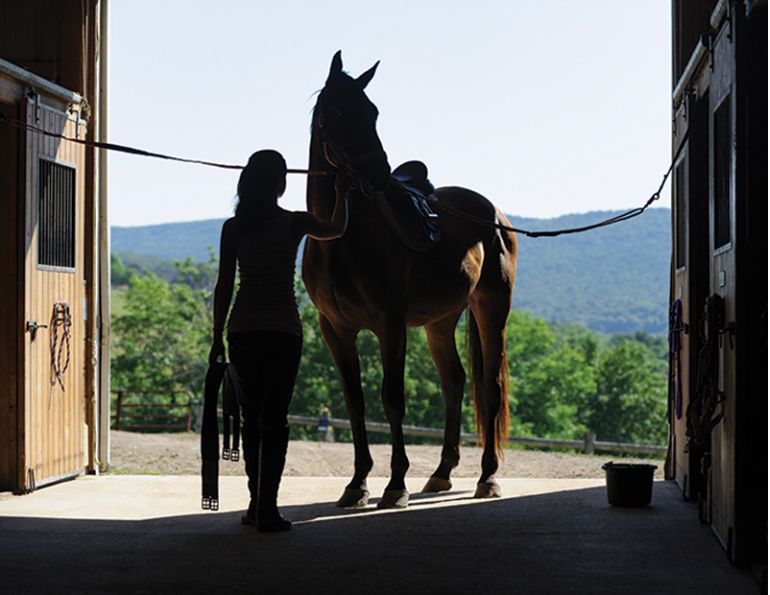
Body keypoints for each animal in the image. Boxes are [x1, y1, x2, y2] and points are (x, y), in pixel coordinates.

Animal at [302, 51, 517, 508]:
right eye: (338, 113)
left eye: (373, 112)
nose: (378, 176)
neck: (340, 236)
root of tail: (495, 215)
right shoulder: (335, 329)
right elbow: (355, 402)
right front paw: (357, 483)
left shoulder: (391, 323)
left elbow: (393, 399)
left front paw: (395, 484)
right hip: (441, 321)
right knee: (454, 383)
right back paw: (441, 473)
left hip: (492, 309)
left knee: (489, 388)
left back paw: (487, 477)